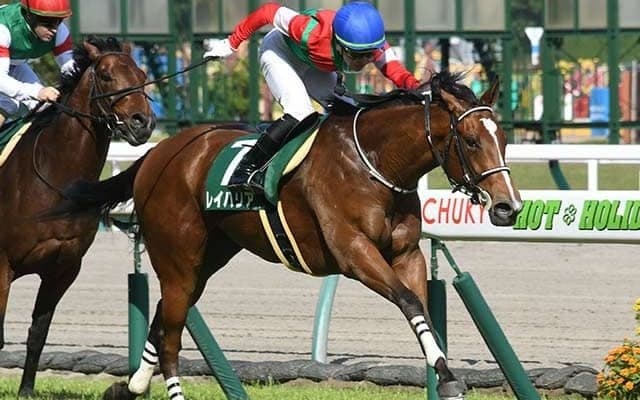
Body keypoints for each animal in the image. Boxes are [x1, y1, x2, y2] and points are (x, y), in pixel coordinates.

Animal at [0, 36, 155, 396]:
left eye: (142, 75)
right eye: (107, 75)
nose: (143, 123)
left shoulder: (63, 268)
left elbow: (38, 333)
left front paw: (26, 390)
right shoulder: (2, 266)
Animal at [62, 71, 521, 400]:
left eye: (503, 139)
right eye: (471, 140)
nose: (508, 206)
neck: (374, 163)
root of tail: (157, 153)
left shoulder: (407, 254)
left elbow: (421, 308)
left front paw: (444, 373)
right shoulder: (354, 253)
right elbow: (408, 301)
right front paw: (447, 378)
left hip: (207, 258)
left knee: (165, 315)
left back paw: (132, 385)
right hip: (176, 254)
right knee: (172, 336)